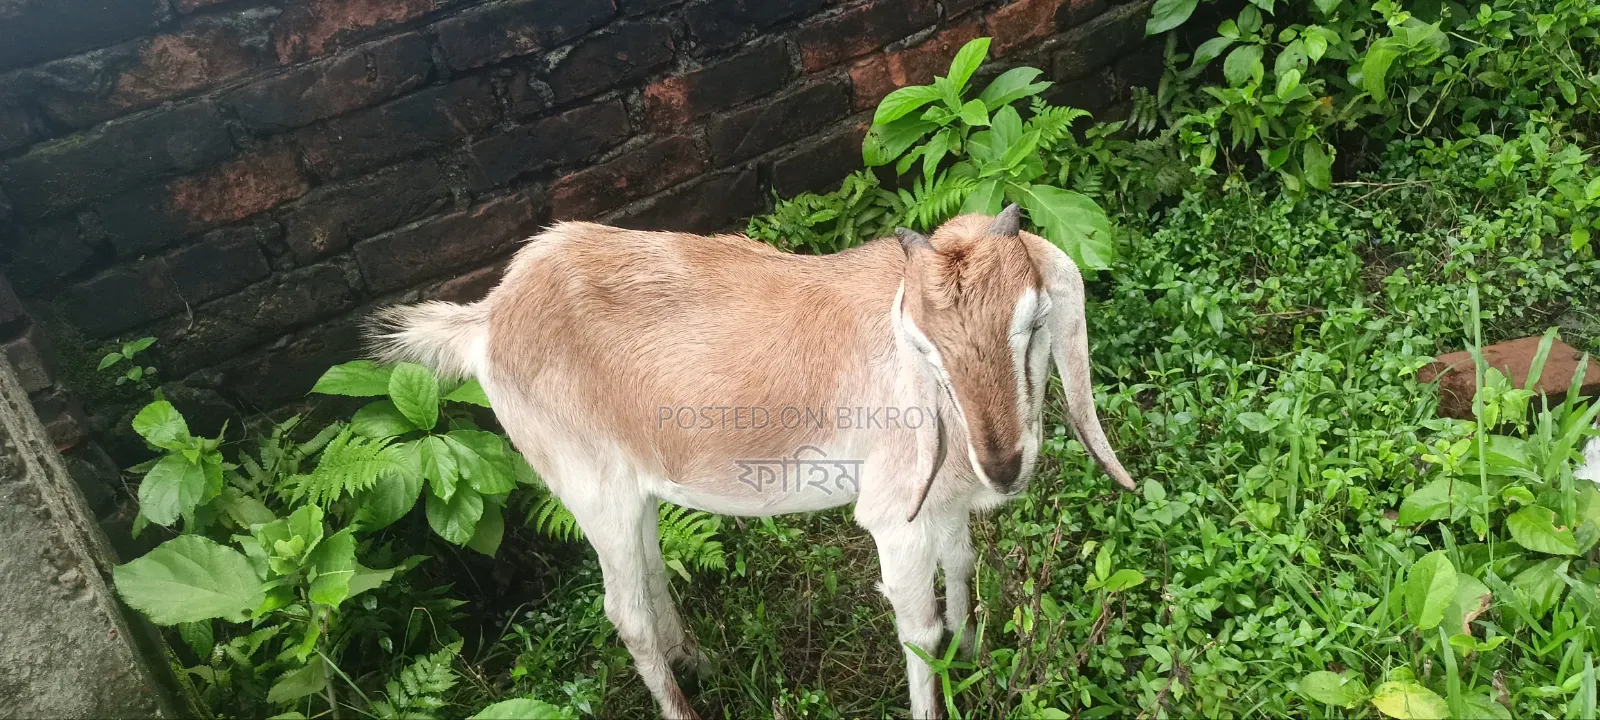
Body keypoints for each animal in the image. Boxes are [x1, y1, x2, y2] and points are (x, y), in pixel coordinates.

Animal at [368, 204, 1137, 719]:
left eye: (1032, 322)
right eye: (924, 348)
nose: (1003, 466)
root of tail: (488, 320)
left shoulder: (943, 504)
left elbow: (963, 570)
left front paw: (973, 659)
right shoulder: (897, 516)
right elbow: (920, 631)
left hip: (633, 491)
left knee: (650, 573)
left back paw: (698, 659)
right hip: (590, 489)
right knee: (625, 612)